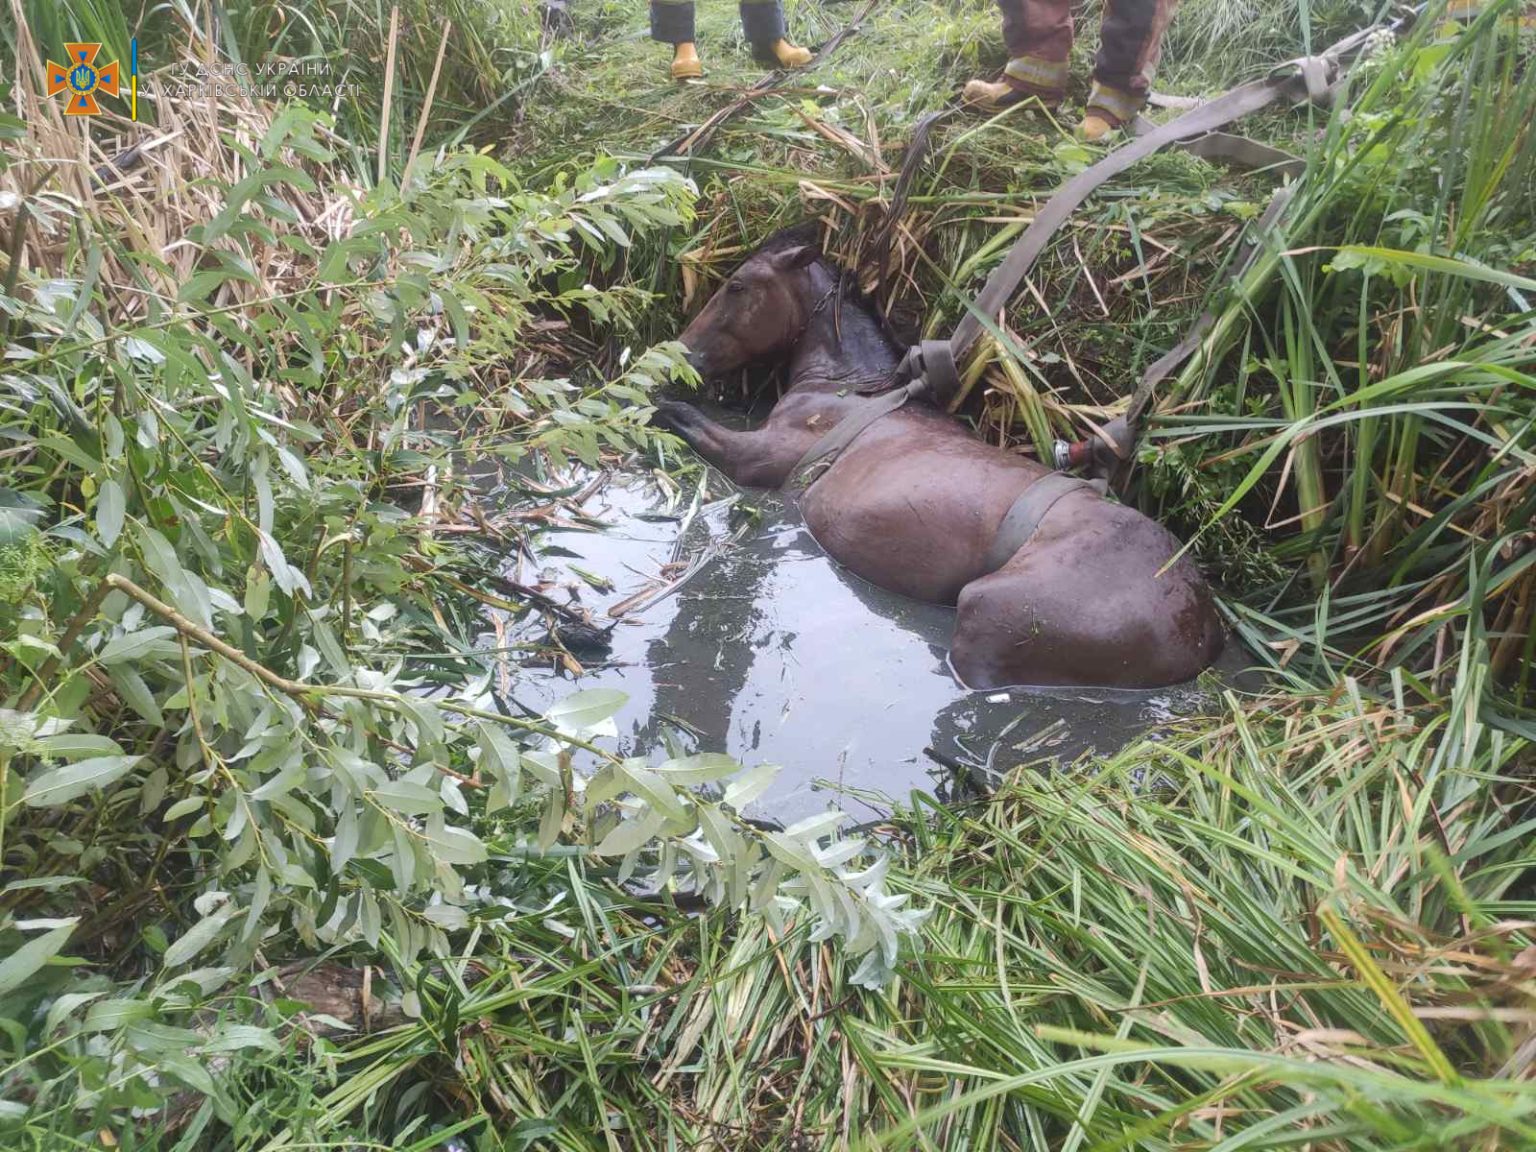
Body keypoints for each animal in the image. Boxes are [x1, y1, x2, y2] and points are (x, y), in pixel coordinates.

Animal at [654, 230, 1228, 691]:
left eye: (737, 285)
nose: (678, 352)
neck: (852, 387)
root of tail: (1199, 632)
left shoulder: (758, 458)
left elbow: (678, 416)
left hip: (986, 617)